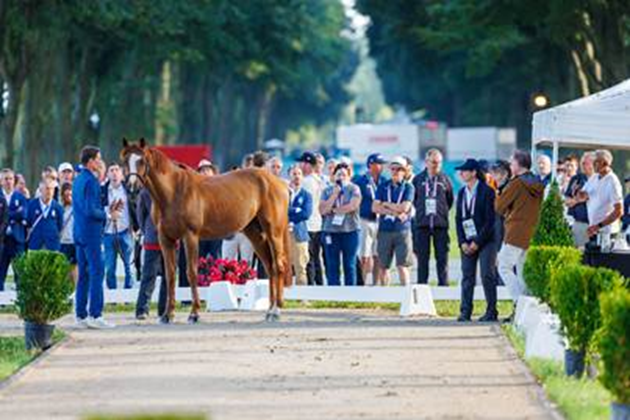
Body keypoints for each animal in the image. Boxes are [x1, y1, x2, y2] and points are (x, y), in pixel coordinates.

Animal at [120, 138, 291, 323]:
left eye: (141, 161)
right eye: (125, 161)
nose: (131, 188)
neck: (173, 191)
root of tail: (279, 182)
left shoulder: (190, 237)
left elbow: (191, 272)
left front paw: (194, 313)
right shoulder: (166, 239)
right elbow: (171, 275)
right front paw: (167, 315)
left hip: (274, 232)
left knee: (278, 266)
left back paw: (276, 310)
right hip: (255, 234)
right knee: (270, 267)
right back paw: (270, 311)